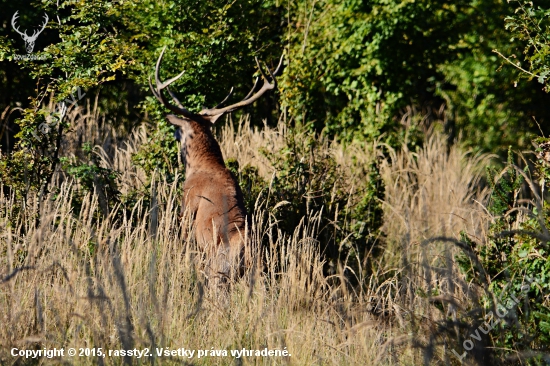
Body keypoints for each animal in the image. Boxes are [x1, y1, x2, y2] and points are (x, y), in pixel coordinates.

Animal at [149, 46, 282, 284]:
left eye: (180, 128)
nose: (174, 131)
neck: (203, 165)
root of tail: (246, 253)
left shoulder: (187, 206)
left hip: (218, 269)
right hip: (261, 273)